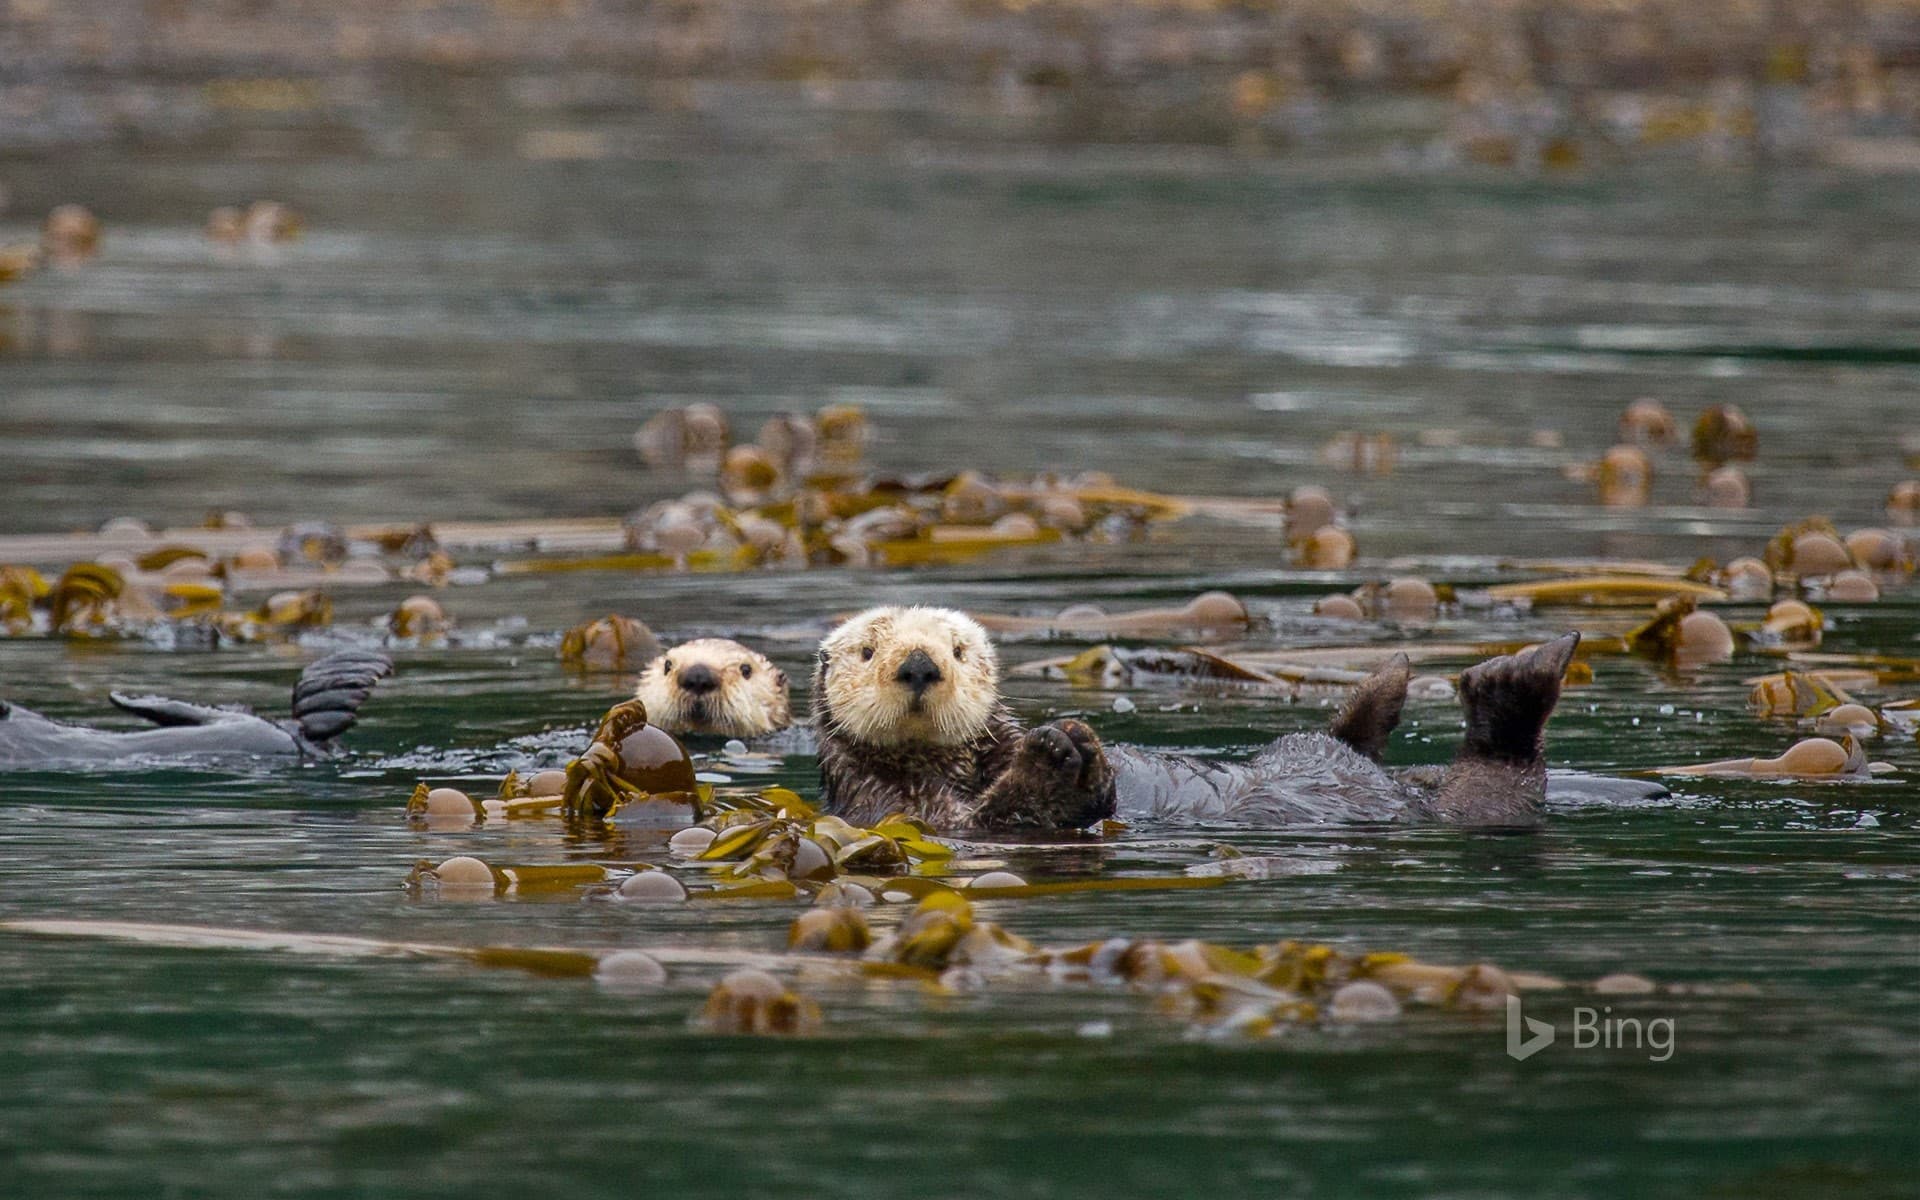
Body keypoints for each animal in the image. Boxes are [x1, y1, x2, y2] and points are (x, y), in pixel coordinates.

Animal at [814, 607, 1660, 832]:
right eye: (867, 649)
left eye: (958, 648)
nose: (919, 665)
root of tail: (1411, 795)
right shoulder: (897, 808)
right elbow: (992, 818)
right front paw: (1061, 756)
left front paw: (1058, 744)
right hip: (1465, 794)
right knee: (1499, 776)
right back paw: (1511, 677)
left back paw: (1397, 678)